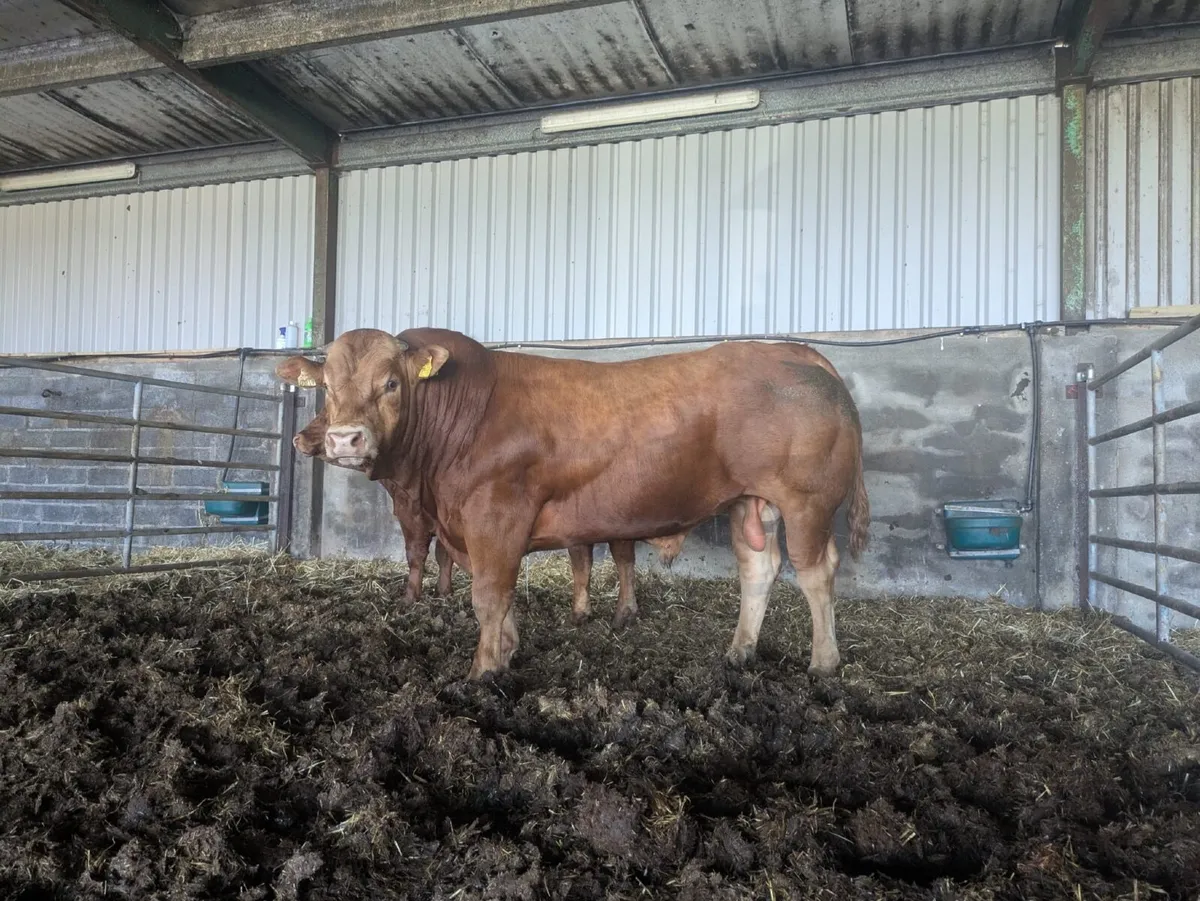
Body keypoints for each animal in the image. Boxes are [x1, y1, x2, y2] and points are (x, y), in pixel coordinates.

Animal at [293, 408, 687, 626]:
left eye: (325, 415)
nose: (297, 438)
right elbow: (444, 556)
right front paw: (444, 592)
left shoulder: (414, 518)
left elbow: (417, 556)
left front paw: (412, 598)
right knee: (602, 559)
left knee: (615, 559)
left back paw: (613, 613)